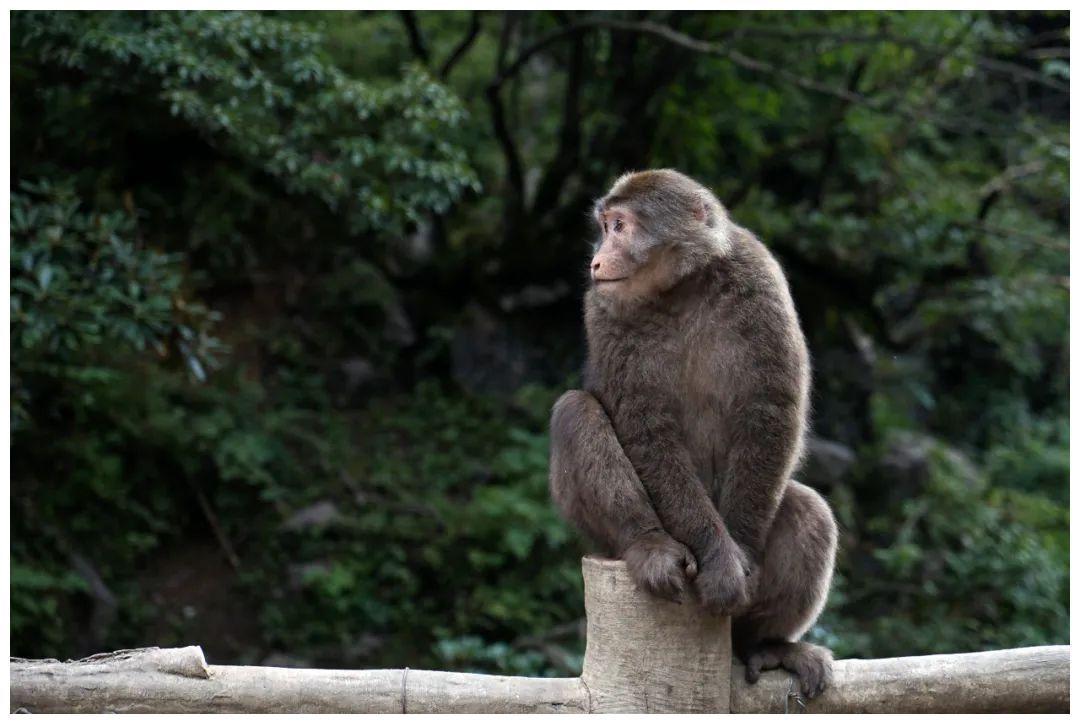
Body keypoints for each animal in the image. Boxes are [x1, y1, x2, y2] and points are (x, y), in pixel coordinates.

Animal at [552, 168, 838, 695]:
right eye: (604, 225)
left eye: (619, 226)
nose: (596, 259)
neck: (680, 286)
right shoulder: (602, 305)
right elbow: (646, 427)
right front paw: (720, 559)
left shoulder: (758, 277)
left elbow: (770, 410)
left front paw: (738, 555)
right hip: (606, 539)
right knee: (574, 410)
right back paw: (648, 545)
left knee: (807, 510)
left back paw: (765, 644)